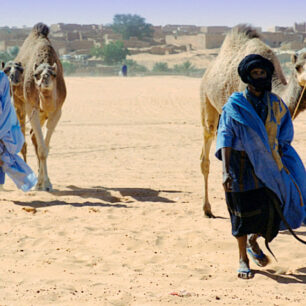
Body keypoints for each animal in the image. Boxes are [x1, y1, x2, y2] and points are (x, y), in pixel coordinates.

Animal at [3, 23, 66, 190]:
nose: (44, 79)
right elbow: (42, 149)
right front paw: (41, 184)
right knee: (24, 139)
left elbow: (45, 147)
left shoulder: (57, 111)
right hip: (19, 105)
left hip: (42, 113)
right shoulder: (32, 107)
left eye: (53, 74)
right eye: (36, 74)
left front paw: (46, 183)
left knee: (33, 136)